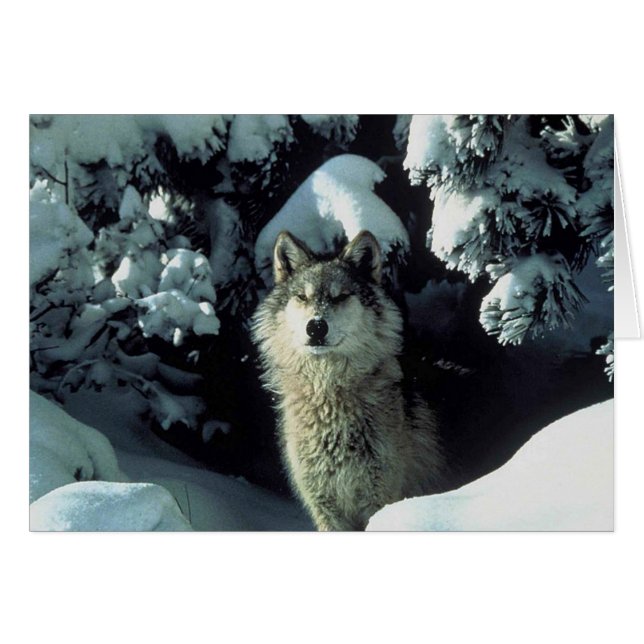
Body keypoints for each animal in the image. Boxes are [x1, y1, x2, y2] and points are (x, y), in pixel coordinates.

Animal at [251, 230, 446, 531]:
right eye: (302, 297)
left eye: (340, 296)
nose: (316, 326)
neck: (328, 396)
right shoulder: (325, 509)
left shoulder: (379, 501)